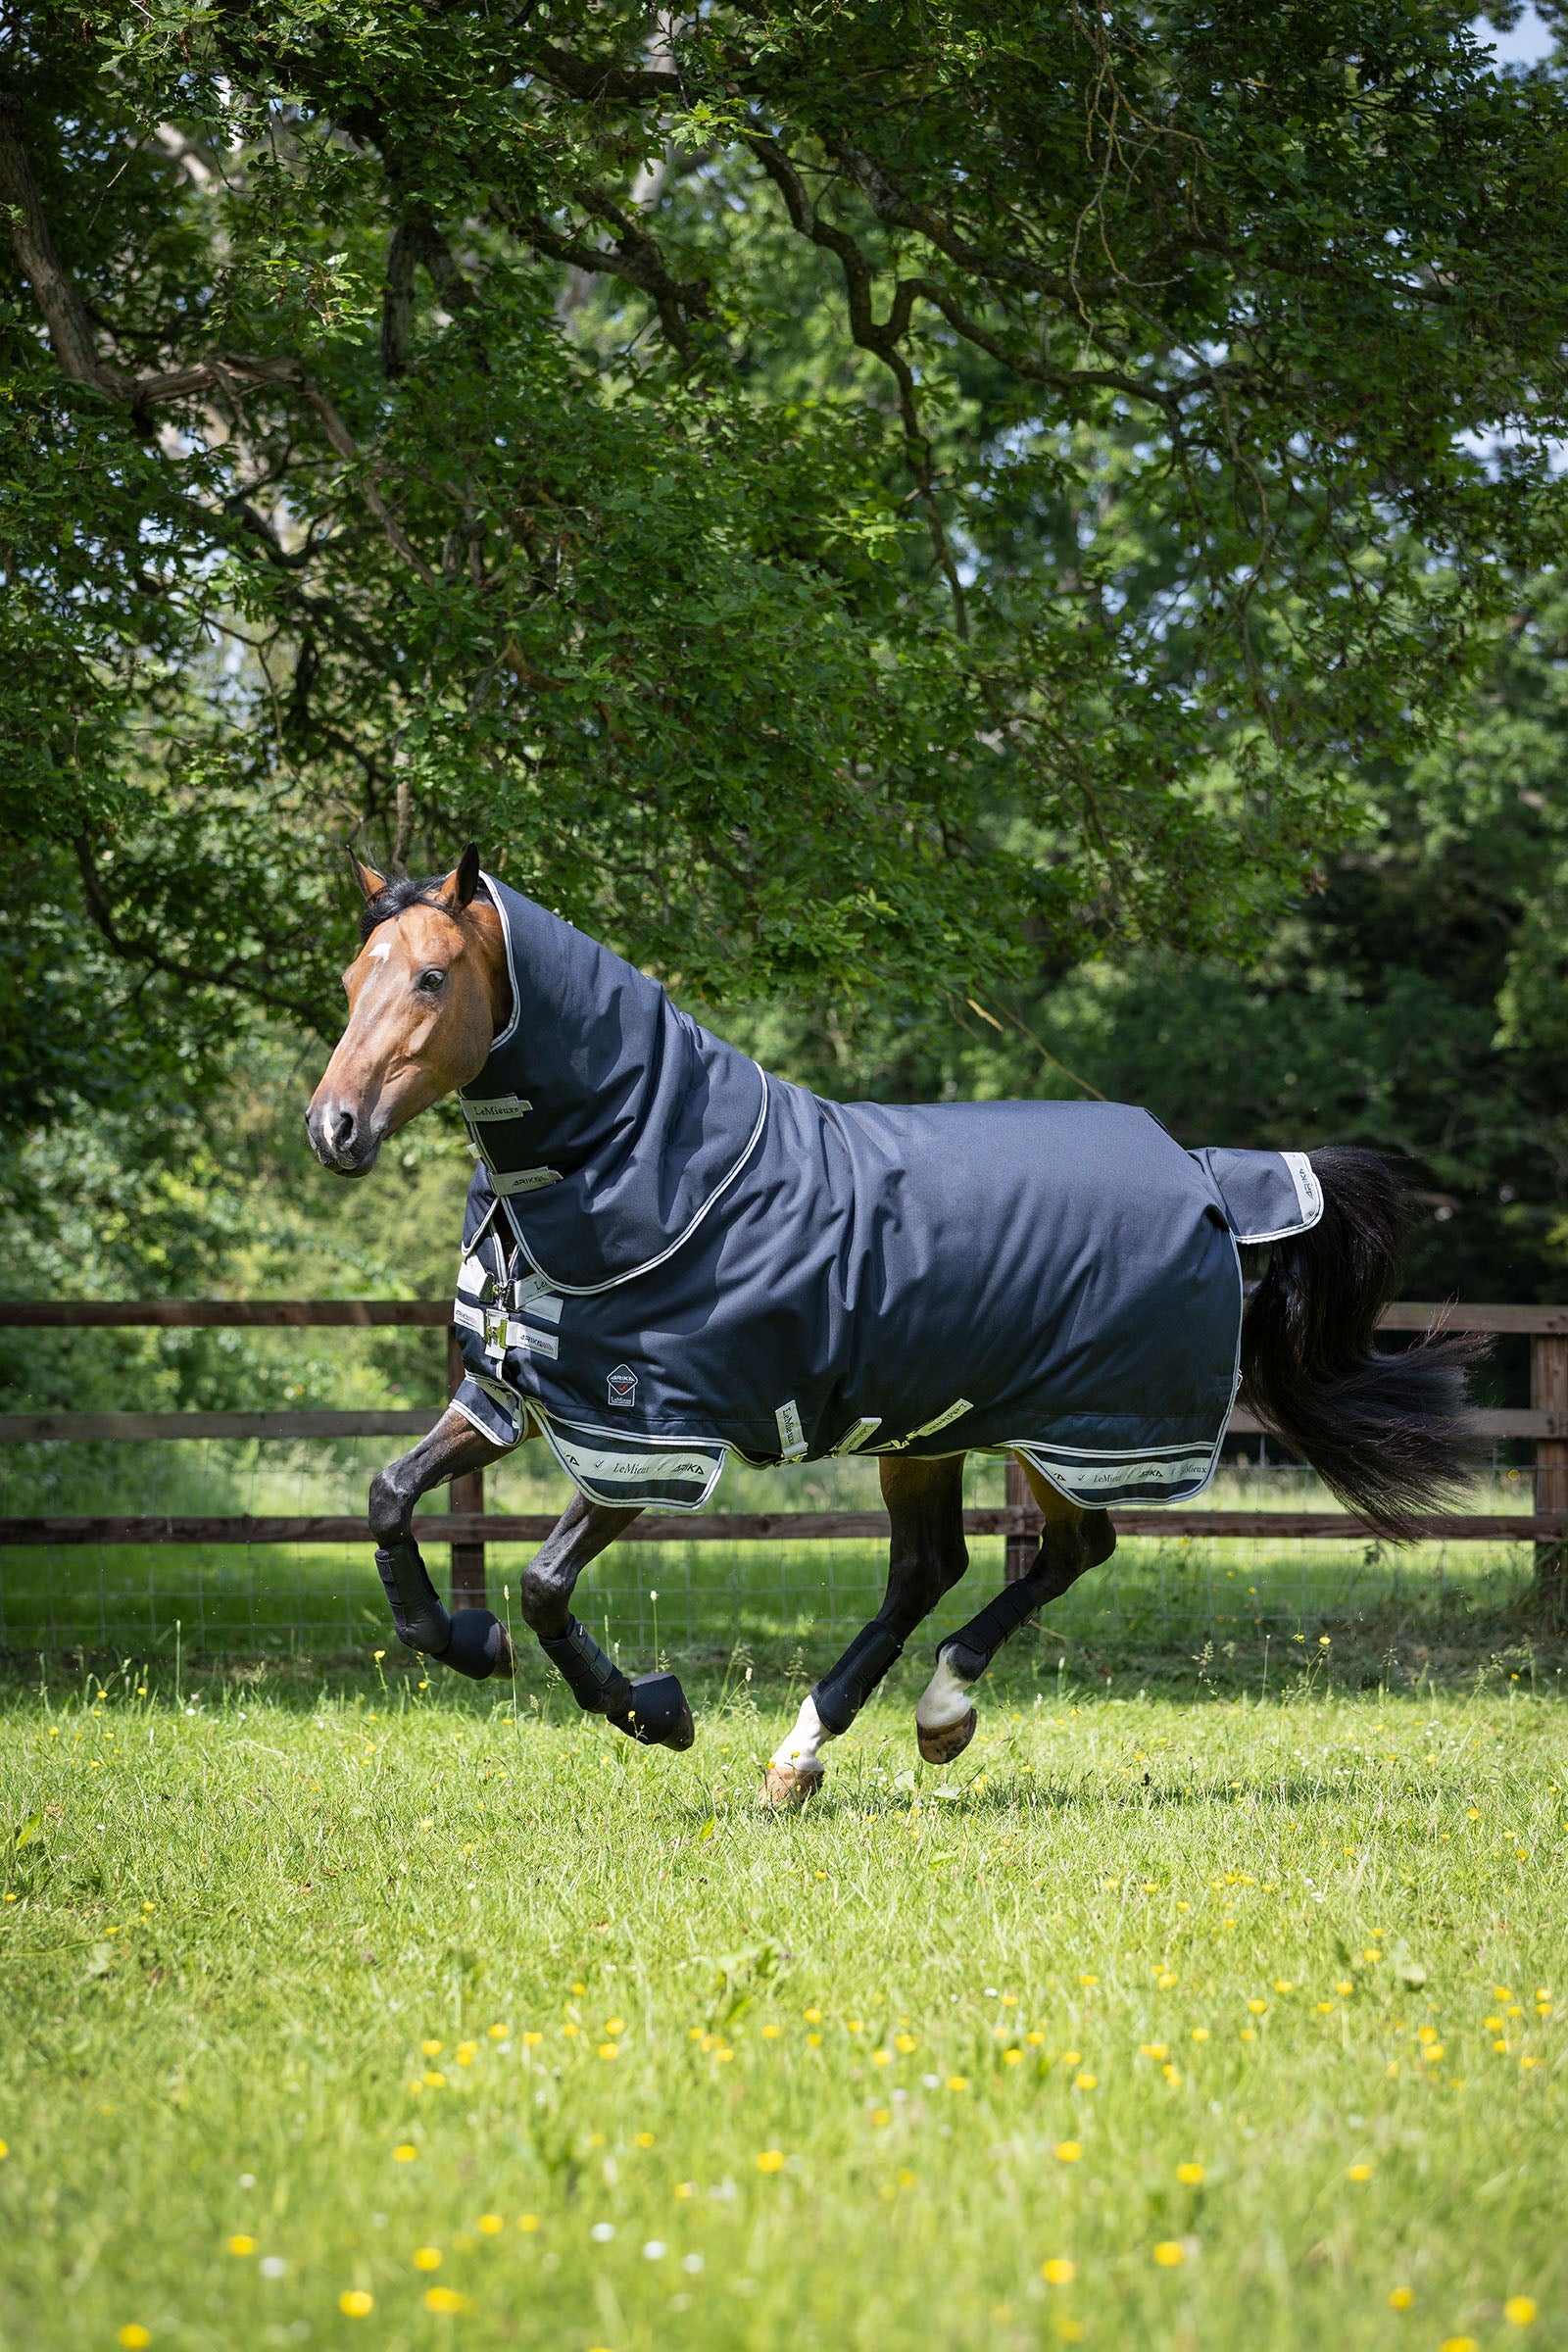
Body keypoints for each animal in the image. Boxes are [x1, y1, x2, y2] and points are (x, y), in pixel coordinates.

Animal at [306, 847, 1477, 1806]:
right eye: (354, 979)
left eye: (431, 977)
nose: (334, 1129)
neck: (651, 1171)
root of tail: (1206, 1172)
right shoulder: (512, 1396)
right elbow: (388, 1496)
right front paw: (461, 1640)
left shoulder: (653, 1441)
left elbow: (546, 1585)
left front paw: (654, 1711)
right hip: (930, 1427)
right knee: (937, 1568)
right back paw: (813, 1755)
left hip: (1077, 1429)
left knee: (1064, 1550)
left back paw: (929, 1713)